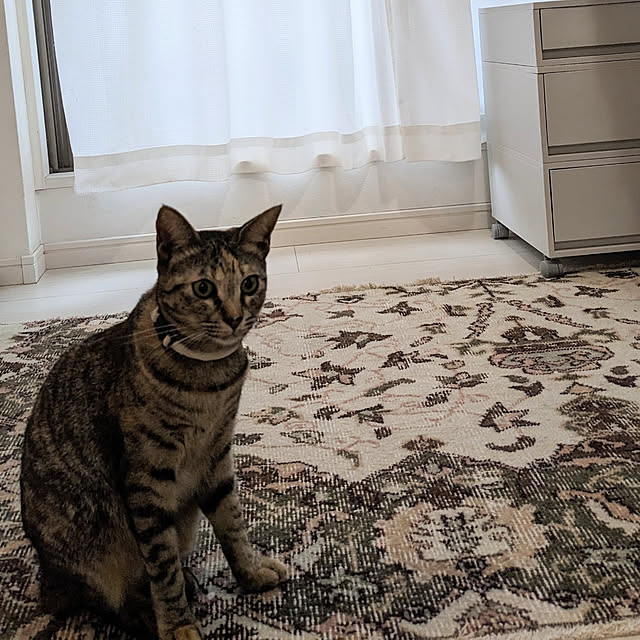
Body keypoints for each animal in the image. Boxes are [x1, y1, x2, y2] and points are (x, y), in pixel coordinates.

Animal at [20, 204, 287, 640]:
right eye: (203, 289)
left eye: (249, 283)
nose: (235, 318)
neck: (209, 380)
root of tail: (47, 577)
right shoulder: (148, 479)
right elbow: (162, 567)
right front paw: (177, 623)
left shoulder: (216, 456)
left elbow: (232, 522)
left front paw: (249, 571)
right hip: (94, 541)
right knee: (109, 600)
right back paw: (148, 612)